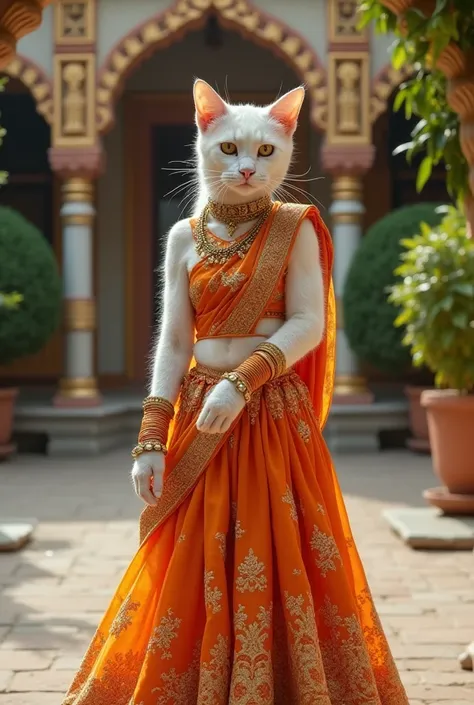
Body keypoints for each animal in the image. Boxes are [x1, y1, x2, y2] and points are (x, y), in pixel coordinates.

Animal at [131, 81, 324, 506]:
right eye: (229, 148)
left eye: (266, 150)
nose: (248, 170)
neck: (234, 219)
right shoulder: (175, 241)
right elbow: (175, 338)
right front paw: (148, 463)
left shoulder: (303, 234)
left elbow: (308, 319)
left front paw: (224, 400)